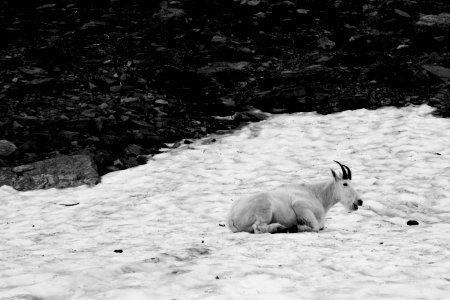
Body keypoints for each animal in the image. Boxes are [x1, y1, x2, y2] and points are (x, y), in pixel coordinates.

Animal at [227, 162, 364, 234]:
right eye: (345, 184)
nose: (359, 201)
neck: (317, 195)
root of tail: (231, 217)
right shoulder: (300, 206)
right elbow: (316, 227)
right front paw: (298, 226)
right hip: (265, 211)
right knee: (258, 228)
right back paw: (281, 227)